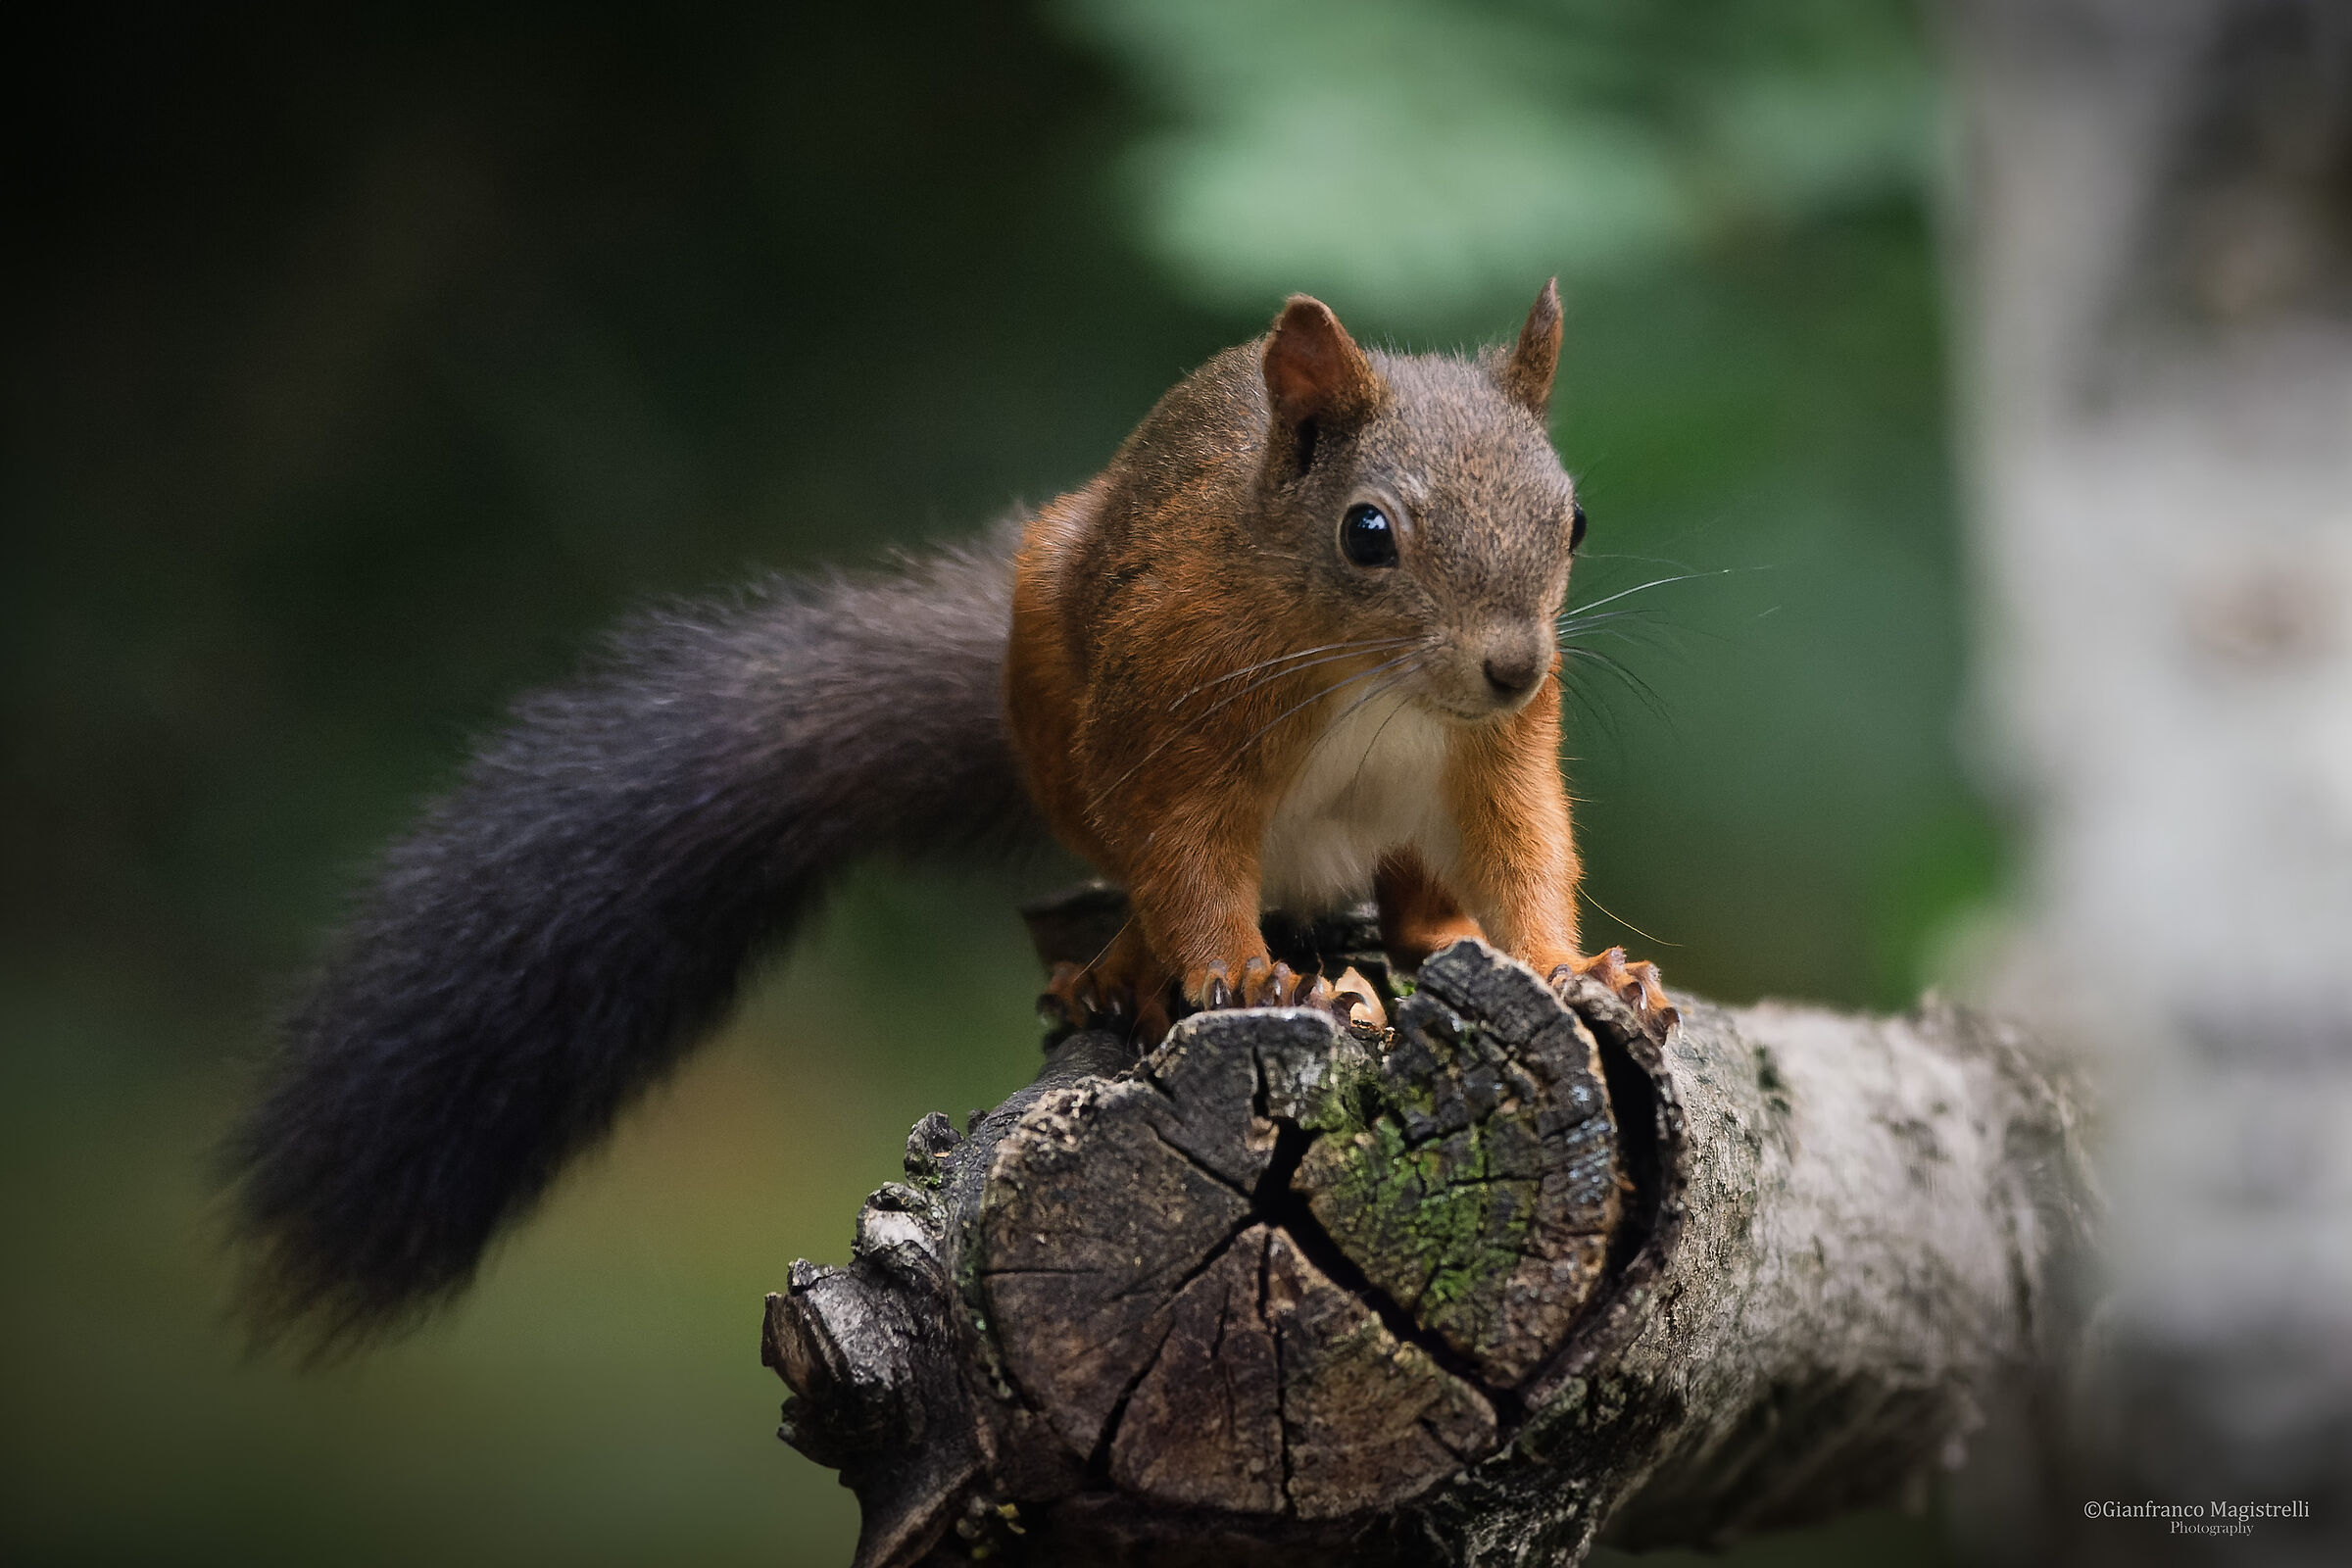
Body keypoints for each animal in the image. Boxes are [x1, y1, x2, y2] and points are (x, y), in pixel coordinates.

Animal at [227, 280, 1673, 1352]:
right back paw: (1126, 967)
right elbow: (1185, 854)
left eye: (1573, 517)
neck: (1372, 677)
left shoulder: (1495, 760)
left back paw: (1433, 935)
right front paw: (1248, 976)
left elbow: (1526, 851)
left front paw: (1572, 966)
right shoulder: (1172, 712)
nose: (1513, 666)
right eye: (1369, 532)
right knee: (1139, 873)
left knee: (1417, 889)